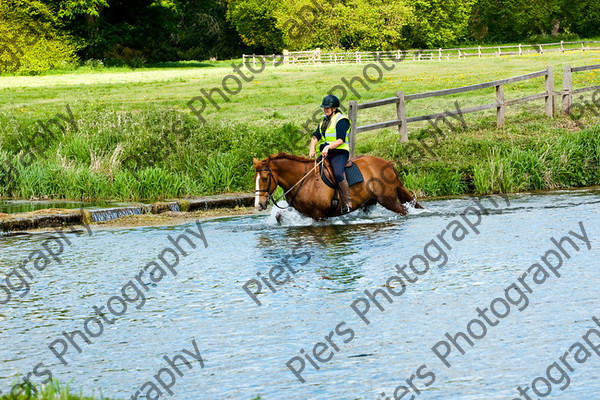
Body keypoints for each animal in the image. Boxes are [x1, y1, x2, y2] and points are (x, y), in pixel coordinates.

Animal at [253, 152, 422, 220]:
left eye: (264, 178)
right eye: (255, 178)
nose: (258, 205)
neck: (302, 179)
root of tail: (387, 164)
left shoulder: (319, 215)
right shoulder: (303, 212)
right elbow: (279, 216)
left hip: (388, 200)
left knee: (404, 210)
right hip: (369, 202)